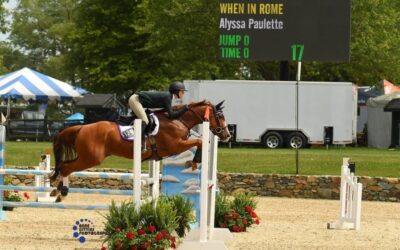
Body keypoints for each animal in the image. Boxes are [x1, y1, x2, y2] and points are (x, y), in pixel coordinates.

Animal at [50, 99, 231, 201]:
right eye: (220, 116)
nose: (227, 135)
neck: (178, 120)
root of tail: (81, 128)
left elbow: (199, 141)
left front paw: (191, 163)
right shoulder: (174, 145)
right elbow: (199, 141)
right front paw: (193, 163)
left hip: (86, 157)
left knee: (64, 166)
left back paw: (56, 190)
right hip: (91, 158)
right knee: (66, 168)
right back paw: (61, 193)